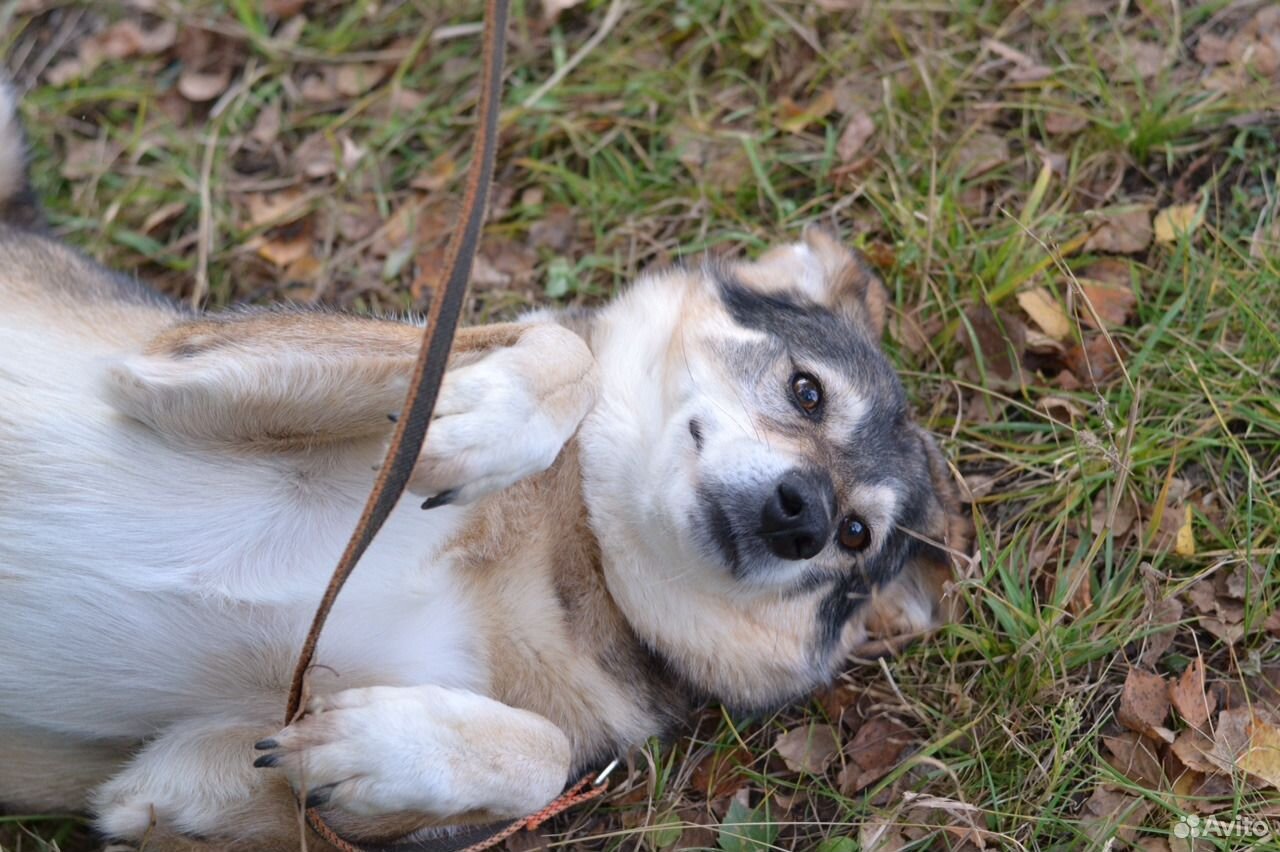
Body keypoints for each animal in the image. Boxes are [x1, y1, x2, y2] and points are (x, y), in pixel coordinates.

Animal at [0, 81, 962, 849]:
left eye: (856, 534)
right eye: (808, 392)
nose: (802, 516)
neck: (585, 553)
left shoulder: (165, 791)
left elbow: (539, 759)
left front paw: (381, 751)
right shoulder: (188, 360)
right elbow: (565, 353)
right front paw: (489, 418)